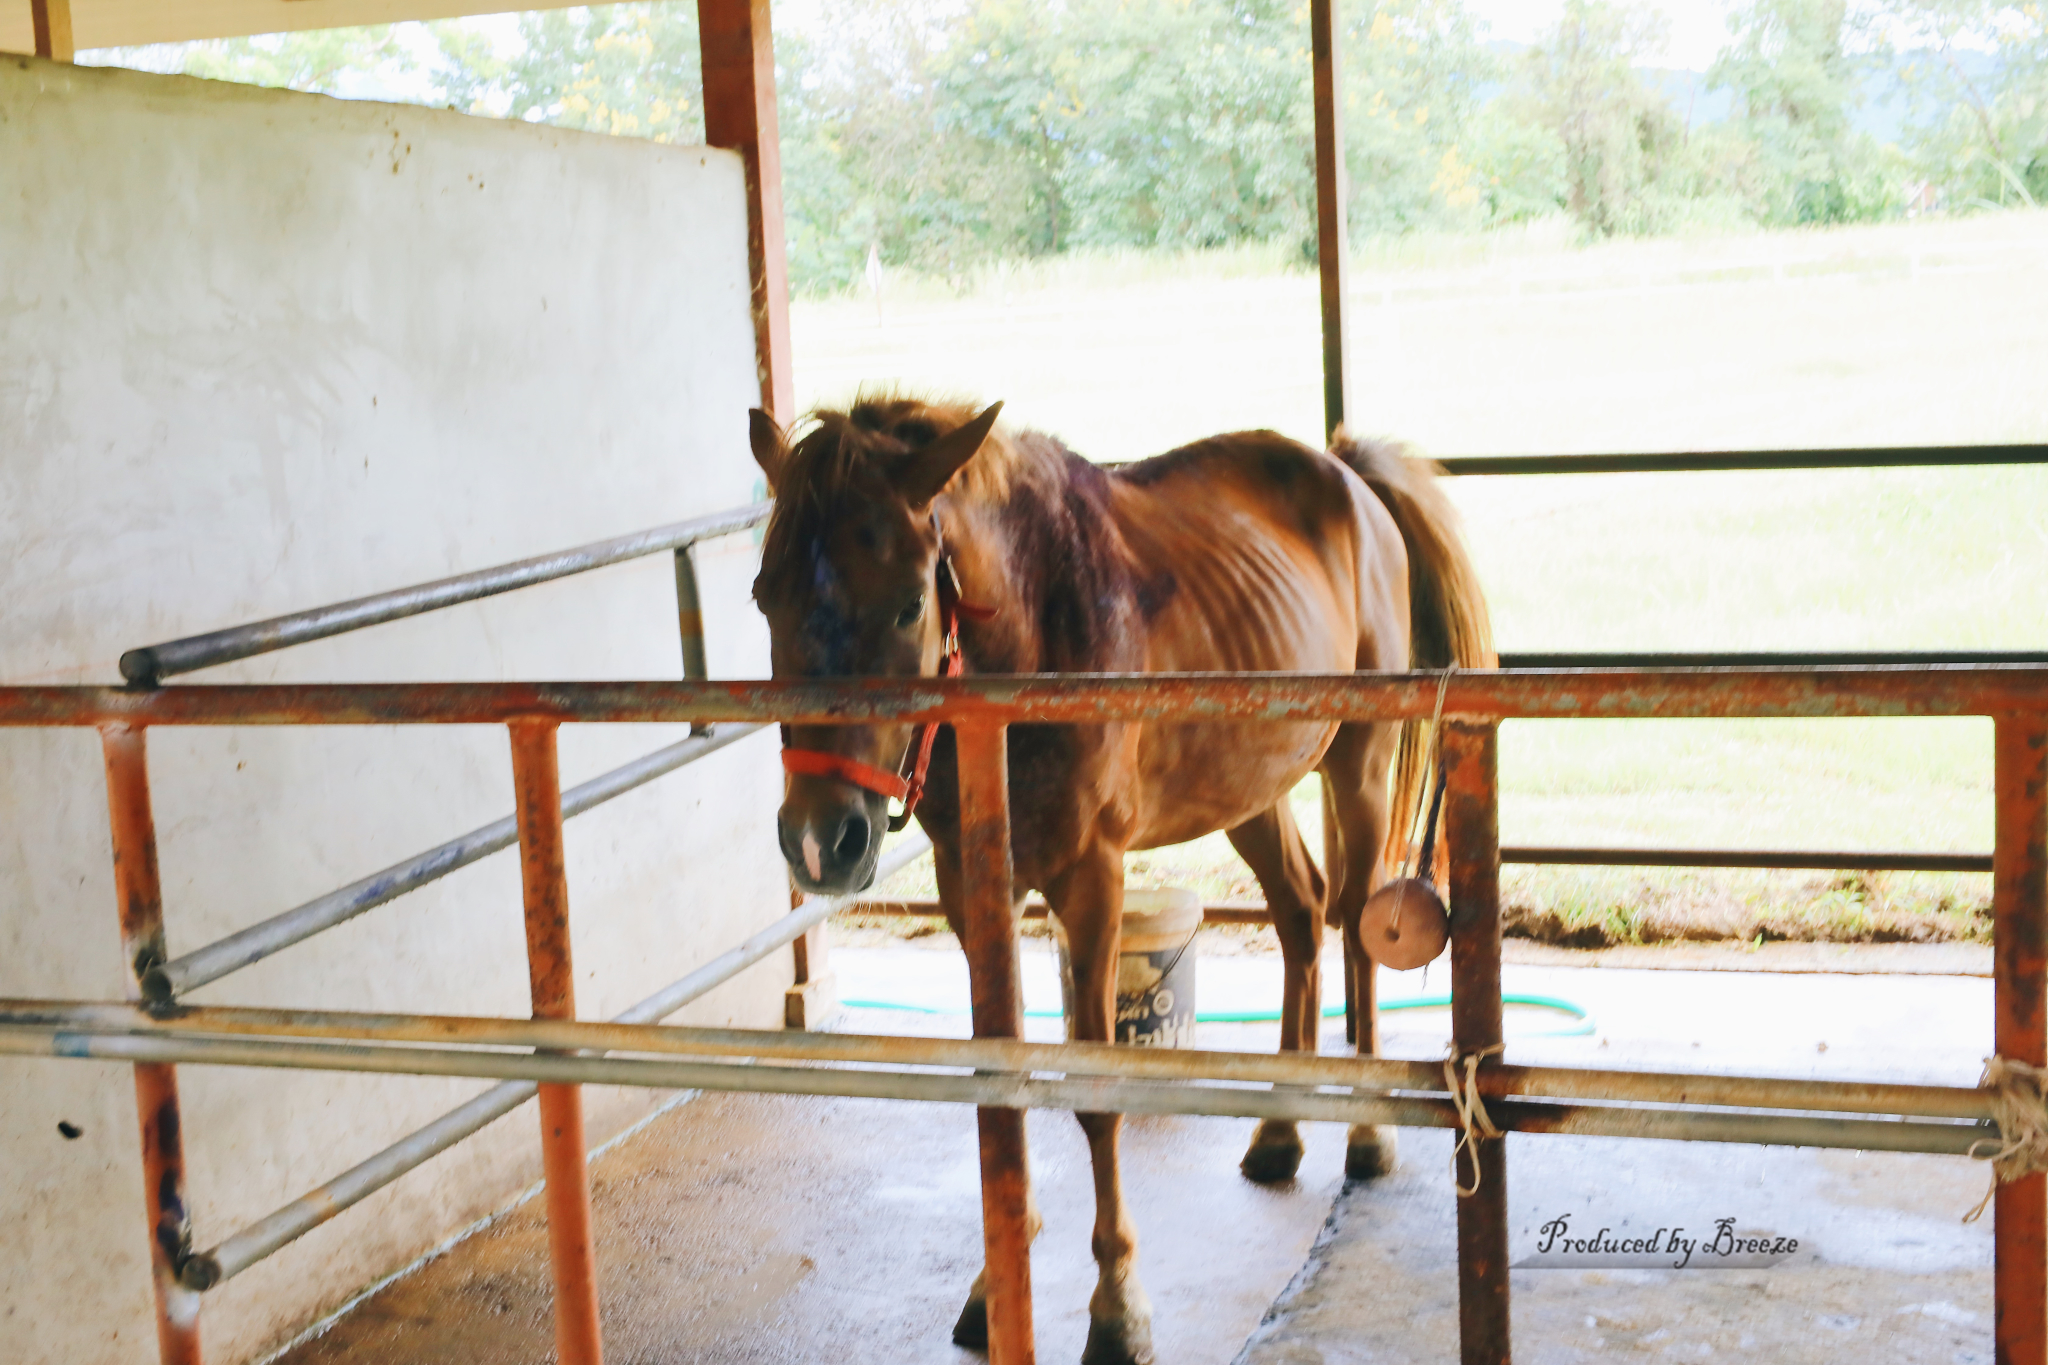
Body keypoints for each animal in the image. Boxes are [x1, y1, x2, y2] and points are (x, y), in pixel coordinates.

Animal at [753, 394, 1490, 1365]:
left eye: (912, 602)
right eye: (764, 597)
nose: (819, 840)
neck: (1037, 626)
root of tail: (1348, 475)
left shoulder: (1092, 880)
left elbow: (1095, 1096)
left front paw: (1117, 1307)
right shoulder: (974, 888)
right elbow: (998, 1087)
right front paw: (995, 1288)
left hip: (1356, 766)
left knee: (1358, 931)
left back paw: (1365, 1134)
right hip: (1247, 783)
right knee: (1300, 913)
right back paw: (1279, 1130)